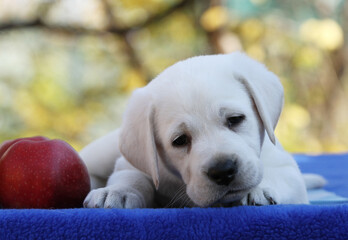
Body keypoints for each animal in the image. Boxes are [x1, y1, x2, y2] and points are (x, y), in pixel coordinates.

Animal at [80, 52, 324, 208]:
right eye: (180, 140)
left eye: (235, 119)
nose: (223, 170)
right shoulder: (132, 164)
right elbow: (132, 177)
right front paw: (116, 192)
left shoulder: (287, 170)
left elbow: (278, 176)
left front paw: (258, 190)